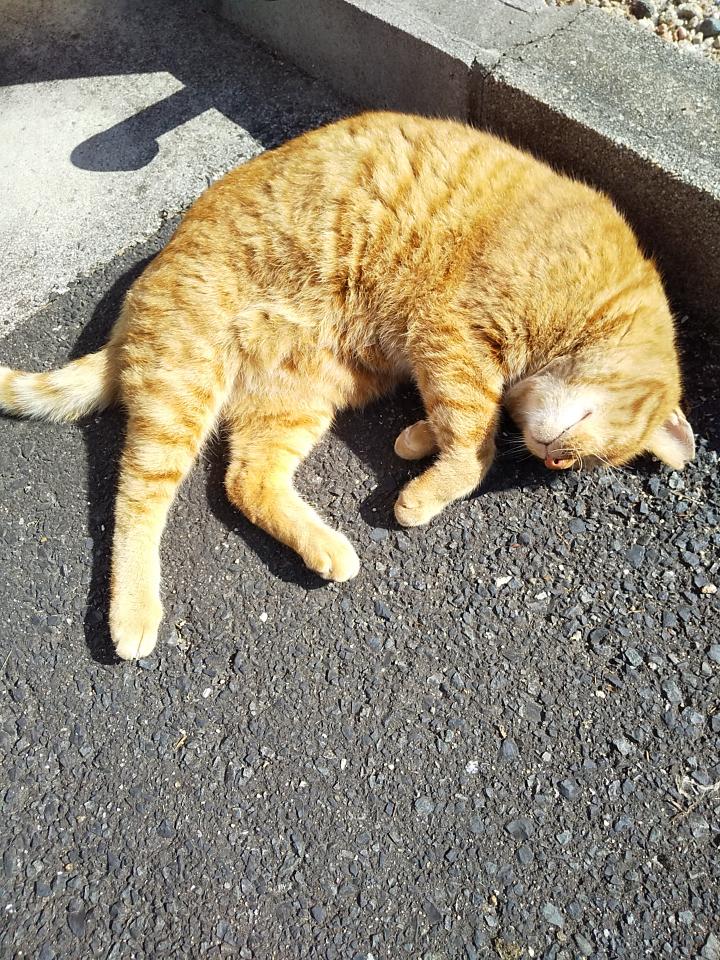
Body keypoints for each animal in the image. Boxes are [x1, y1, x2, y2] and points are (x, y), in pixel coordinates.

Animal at [0, 112, 694, 661]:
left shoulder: (442, 356)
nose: (553, 457)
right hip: (185, 385)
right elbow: (475, 442)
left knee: (244, 482)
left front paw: (417, 441)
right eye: (573, 457)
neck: (597, 298)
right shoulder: (453, 334)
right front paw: (429, 489)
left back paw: (327, 549)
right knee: (135, 502)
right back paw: (134, 615)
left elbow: (469, 420)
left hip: (298, 401)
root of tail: (127, 318)